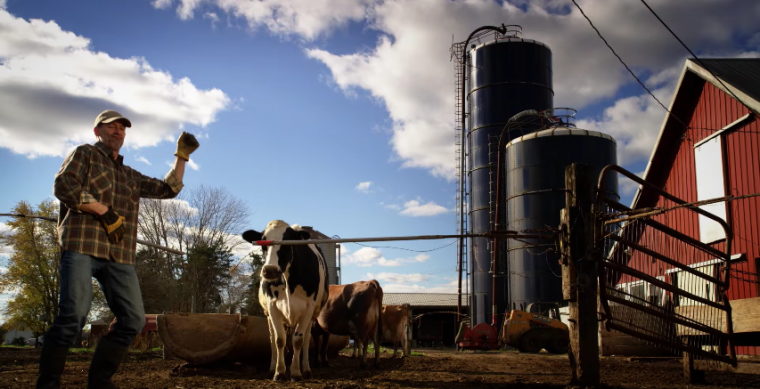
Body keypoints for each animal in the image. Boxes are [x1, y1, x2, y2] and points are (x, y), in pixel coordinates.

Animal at [242, 220, 328, 380]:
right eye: (263, 243)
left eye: (288, 243)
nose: (270, 270)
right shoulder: (272, 307)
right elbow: (279, 339)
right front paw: (279, 372)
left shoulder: (308, 308)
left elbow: (298, 341)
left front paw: (295, 372)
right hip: (269, 315)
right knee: (272, 339)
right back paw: (272, 367)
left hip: (312, 315)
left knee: (306, 339)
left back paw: (306, 369)